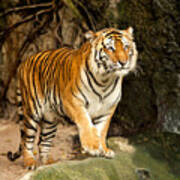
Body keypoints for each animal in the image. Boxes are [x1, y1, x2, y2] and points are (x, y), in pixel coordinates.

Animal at [6, 26, 137, 169]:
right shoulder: (72, 100)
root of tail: (24, 62)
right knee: (27, 139)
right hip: (32, 112)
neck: (106, 80)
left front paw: (103, 149)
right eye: (110, 48)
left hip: (50, 119)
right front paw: (92, 146)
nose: (123, 62)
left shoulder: (107, 109)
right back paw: (30, 162)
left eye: (126, 47)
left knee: (43, 142)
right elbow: (85, 121)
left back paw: (49, 163)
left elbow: (102, 130)